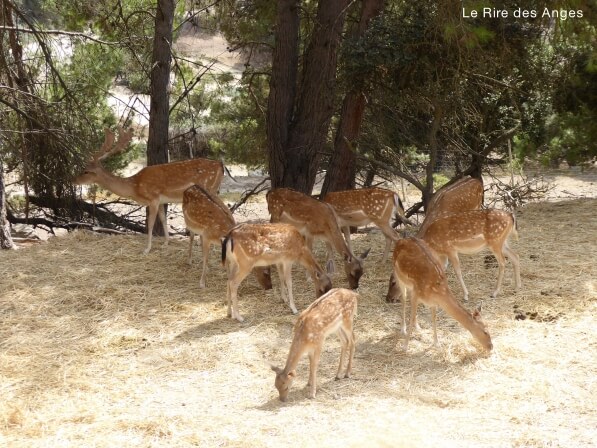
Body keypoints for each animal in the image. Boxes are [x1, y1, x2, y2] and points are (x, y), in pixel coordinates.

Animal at [74, 128, 224, 254]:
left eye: (86, 171)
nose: (73, 180)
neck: (135, 187)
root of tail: (220, 165)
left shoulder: (153, 198)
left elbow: (150, 224)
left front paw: (147, 249)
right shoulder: (161, 200)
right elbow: (163, 219)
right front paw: (166, 243)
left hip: (209, 187)